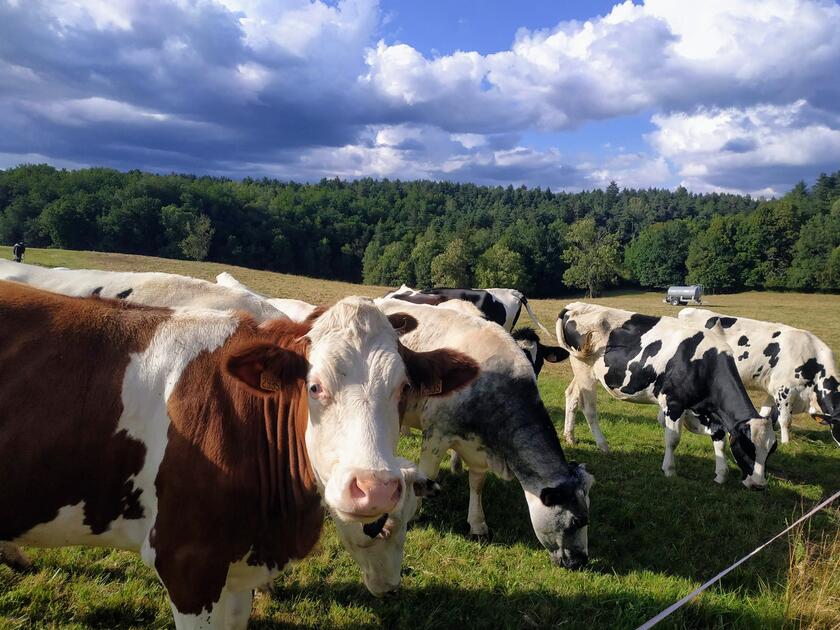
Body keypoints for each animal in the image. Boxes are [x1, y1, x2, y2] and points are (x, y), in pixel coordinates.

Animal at [557, 303, 777, 489]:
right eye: (747, 447)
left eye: (771, 451)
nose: (759, 485)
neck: (704, 362)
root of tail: (575, 306)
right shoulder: (674, 403)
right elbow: (673, 438)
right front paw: (669, 470)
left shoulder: (708, 410)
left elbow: (719, 439)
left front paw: (721, 474)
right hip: (584, 369)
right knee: (589, 408)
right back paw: (603, 445)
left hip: (581, 371)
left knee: (572, 396)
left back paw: (570, 436)